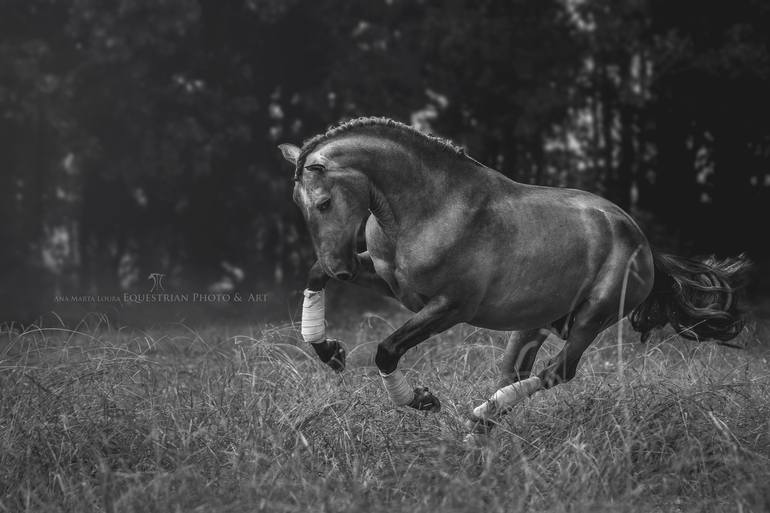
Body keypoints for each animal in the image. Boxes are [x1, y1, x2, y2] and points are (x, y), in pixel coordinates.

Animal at [278, 116, 752, 436]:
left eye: (323, 203)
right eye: (299, 204)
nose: (340, 265)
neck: (429, 209)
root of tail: (642, 240)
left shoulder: (450, 307)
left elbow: (387, 349)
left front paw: (423, 400)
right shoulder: (387, 280)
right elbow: (315, 273)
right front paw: (328, 351)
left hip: (592, 317)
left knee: (558, 372)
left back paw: (481, 416)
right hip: (533, 324)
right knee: (516, 372)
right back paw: (480, 433)